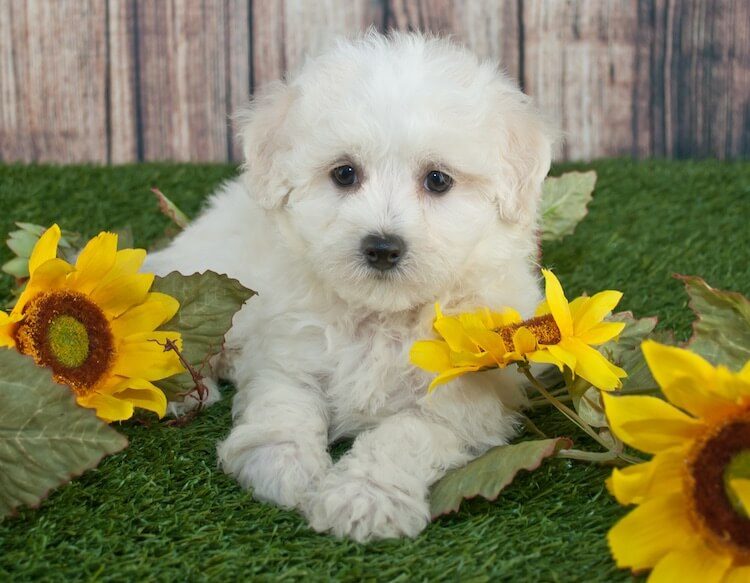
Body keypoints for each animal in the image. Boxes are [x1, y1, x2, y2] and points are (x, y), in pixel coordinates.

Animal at [147, 32, 556, 544]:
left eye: (437, 180)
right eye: (344, 173)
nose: (382, 247)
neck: (382, 315)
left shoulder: (465, 398)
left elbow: (404, 435)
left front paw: (364, 497)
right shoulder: (286, 351)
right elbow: (285, 401)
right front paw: (282, 462)